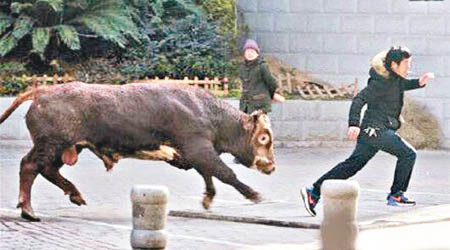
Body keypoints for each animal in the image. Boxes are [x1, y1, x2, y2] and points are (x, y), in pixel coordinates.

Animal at [0, 81, 276, 221]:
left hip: (65, 147)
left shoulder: (195, 154)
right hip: (51, 144)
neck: (206, 110)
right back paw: (28, 210)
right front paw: (254, 194)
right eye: (263, 137)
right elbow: (225, 173)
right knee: (30, 166)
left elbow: (209, 173)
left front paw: (208, 198)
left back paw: (74, 195)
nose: (271, 166)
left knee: (47, 170)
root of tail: (42, 91)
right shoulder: (198, 148)